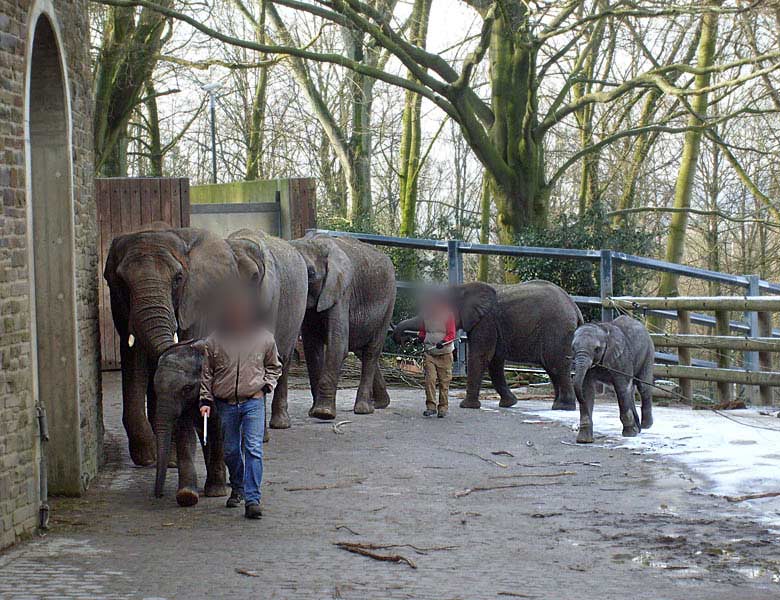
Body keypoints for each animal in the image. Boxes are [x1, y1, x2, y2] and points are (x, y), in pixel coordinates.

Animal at [104, 227, 238, 466]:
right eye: (122, 282)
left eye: (178, 279)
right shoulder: (121, 307)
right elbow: (134, 363)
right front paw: (147, 458)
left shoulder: (195, 304)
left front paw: (172, 460)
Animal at [296, 232, 400, 420]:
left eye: (310, 273)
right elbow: (312, 348)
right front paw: (314, 412)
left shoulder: (342, 291)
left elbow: (337, 345)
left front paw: (323, 414)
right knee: (360, 350)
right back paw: (380, 404)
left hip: (389, 301)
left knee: (371, 351)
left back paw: (364, 409)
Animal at [394, 282, 580, 412]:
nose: (402, 340)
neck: (463, 288)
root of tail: (575, 308)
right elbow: (495, 362)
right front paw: (509, 404)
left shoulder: (486, 321)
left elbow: (481, 356)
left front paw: (467, 406)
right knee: (552, 367)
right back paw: (558, 404)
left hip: (557, 330)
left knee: (556, 364)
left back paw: (563, 407)